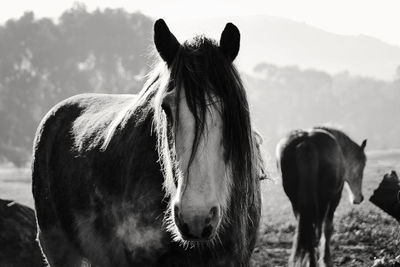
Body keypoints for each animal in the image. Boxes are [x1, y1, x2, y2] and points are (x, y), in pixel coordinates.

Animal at [276, 127, 368, 267]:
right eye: (361, 166)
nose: (359, 198)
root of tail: (306, 142)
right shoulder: (334, 199)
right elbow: (328, 228)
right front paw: (326, 260)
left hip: (296, 202)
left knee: (307, 230)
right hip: (323, 201)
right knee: (317, 231)